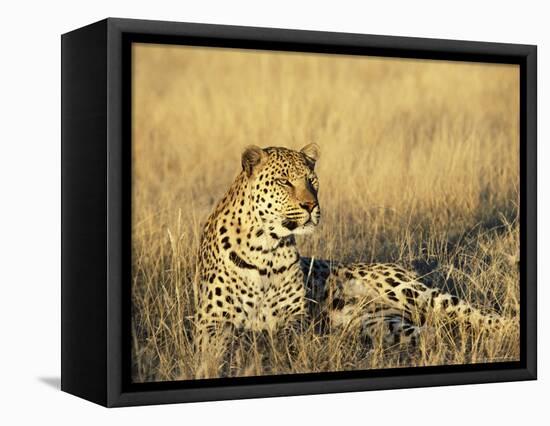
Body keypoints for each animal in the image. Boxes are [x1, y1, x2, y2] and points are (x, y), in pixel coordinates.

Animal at [196, 143, 512, 376]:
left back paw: (509, 327)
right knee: (434, 331)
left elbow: (278, 337)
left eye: (312, 181)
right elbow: (224, 344)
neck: (267, 248)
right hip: (380, 323)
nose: (311, 205)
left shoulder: (295, 319)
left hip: (413, 293)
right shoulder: (210, 321)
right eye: (284, 182)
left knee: (469, 311)